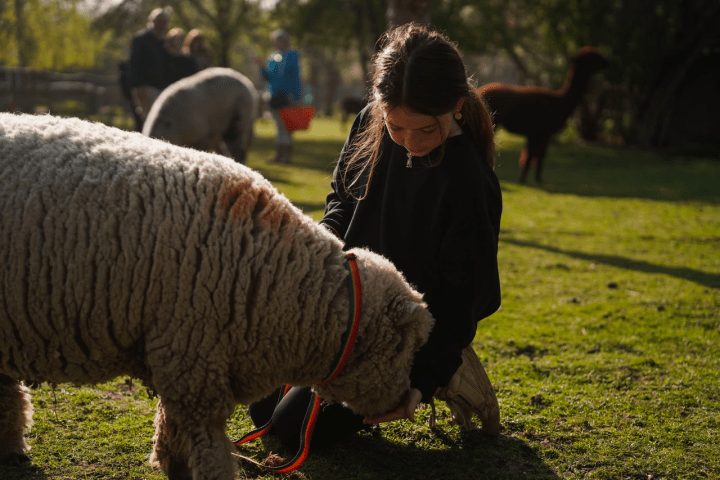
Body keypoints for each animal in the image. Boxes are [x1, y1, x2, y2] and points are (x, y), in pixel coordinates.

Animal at [0, 113, 434, 480]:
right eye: (403, 347)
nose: (405, 401)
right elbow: (206, 443)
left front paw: (171, 462)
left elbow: (170, 423)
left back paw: (12, 449)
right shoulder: (192, 360)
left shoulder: (184, 357)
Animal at [478, 47, 609, 183]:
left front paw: (538, 180)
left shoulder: (545, 135)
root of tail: (480, 90)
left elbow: (540, 158)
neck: (559, 103)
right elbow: (529, 157)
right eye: (592, 57)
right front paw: (523, 179)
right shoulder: (535, 132)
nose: (607, 62)